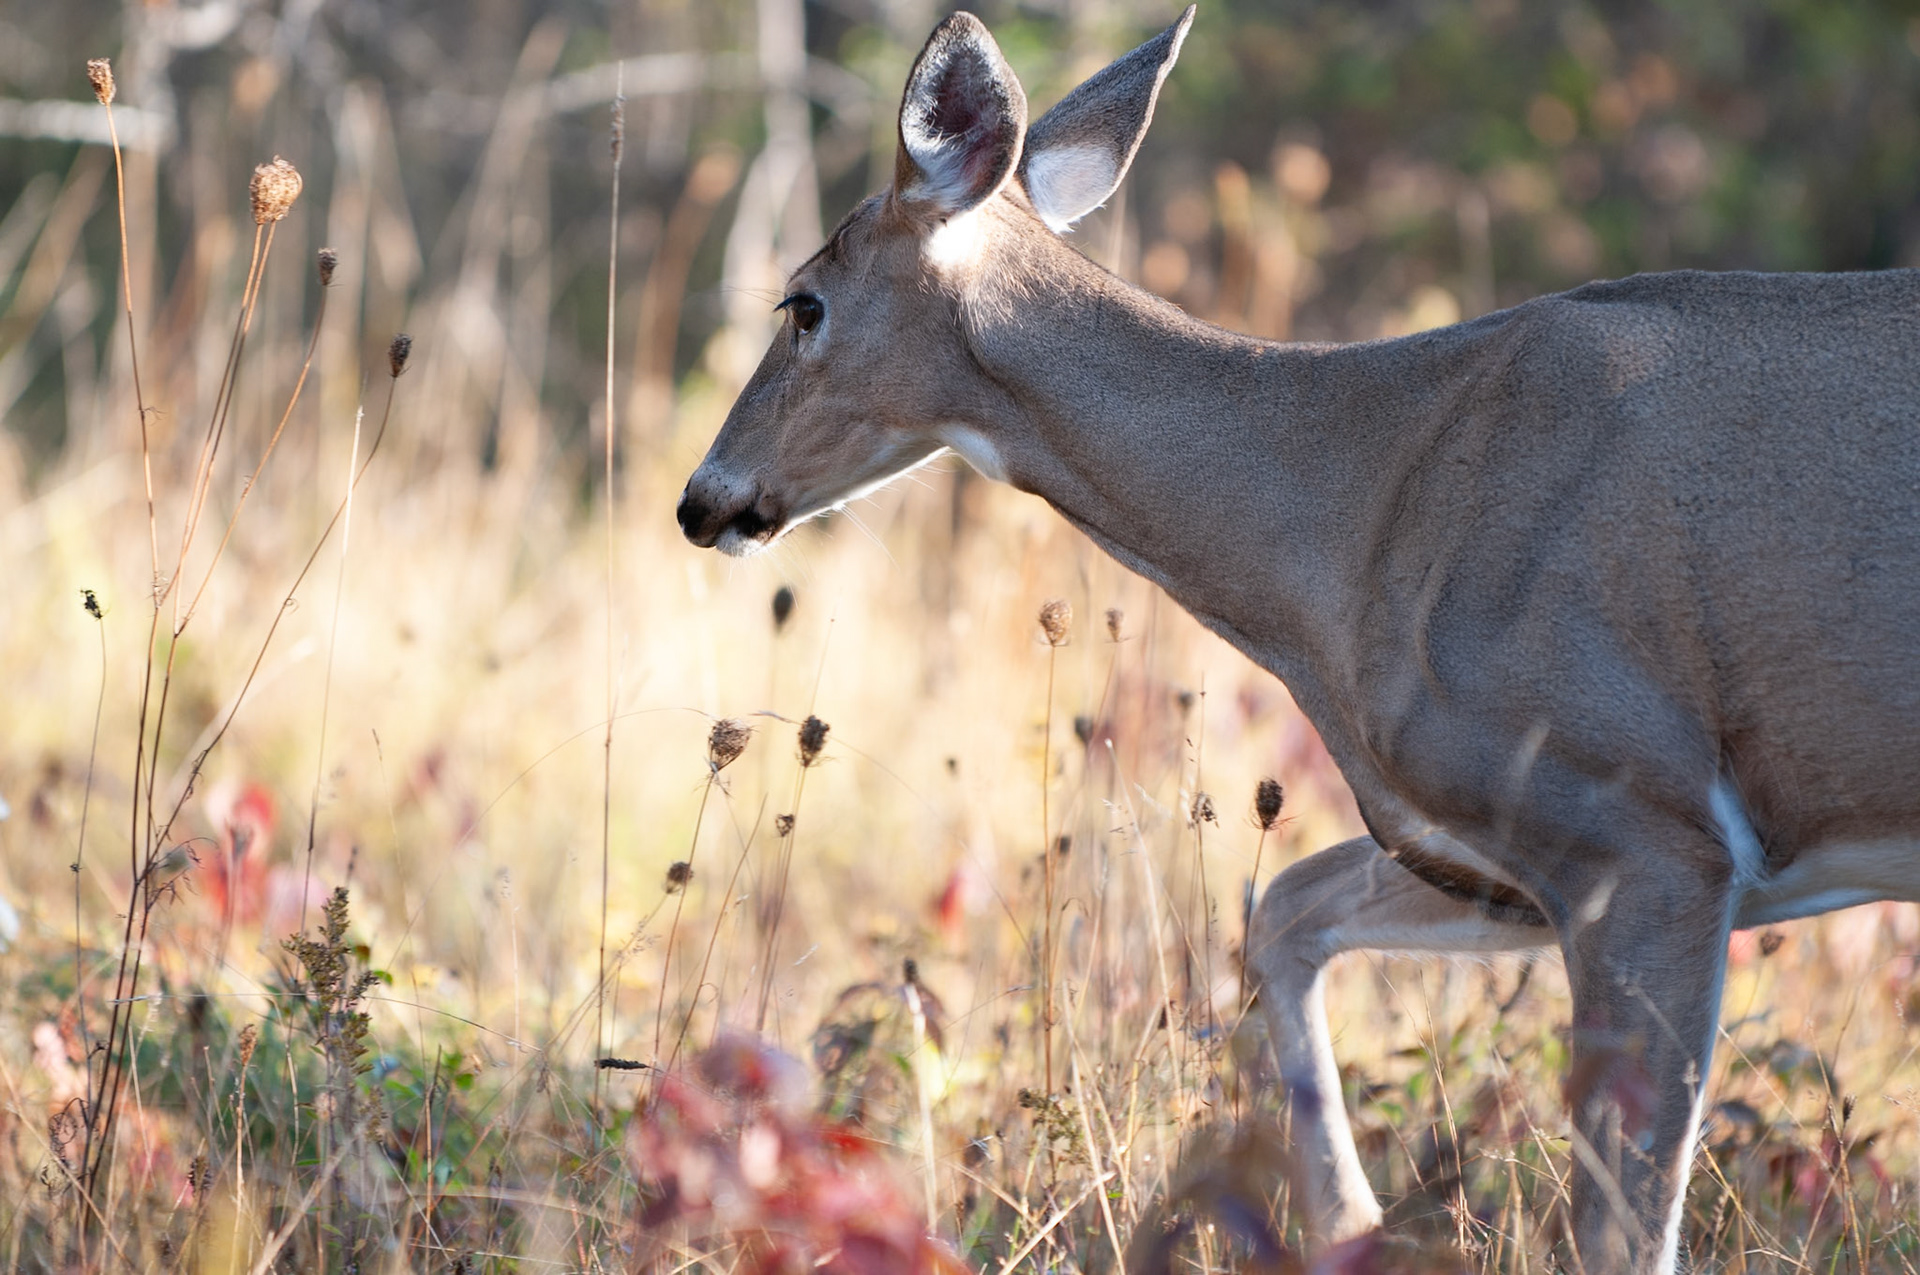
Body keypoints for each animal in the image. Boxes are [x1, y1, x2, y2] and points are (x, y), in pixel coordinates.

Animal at [676, 8, 1920, 1271]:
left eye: (802, 304)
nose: (702, 498)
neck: (1362, 511)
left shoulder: (1647, 825)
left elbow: (1622, 1227)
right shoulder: (1500, 851)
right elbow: (1280, 910)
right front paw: (1352, 1223)